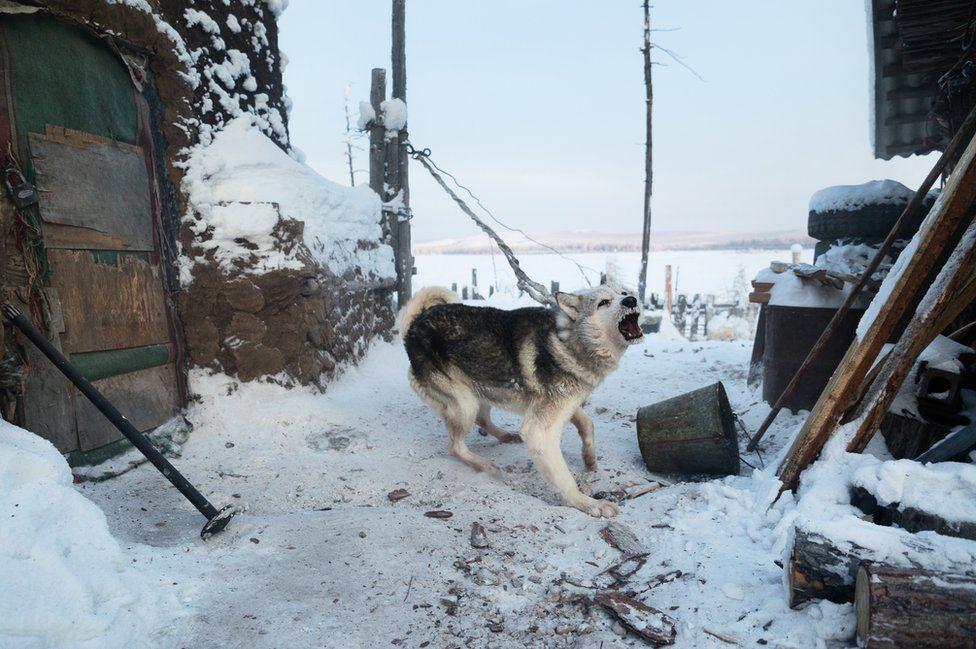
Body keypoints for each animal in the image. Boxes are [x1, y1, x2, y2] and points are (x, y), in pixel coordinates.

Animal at [400, 284, 644, 516]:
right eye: (604, 302)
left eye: (624, 293)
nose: (631, 300)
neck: (569, 340)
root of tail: (414, 325)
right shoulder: (540, 432)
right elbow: (564, 479)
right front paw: (589, 504)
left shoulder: (564, 406)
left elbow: (587, 424)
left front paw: (589, 459)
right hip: (465, 404)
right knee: (455, 446)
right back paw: (487, 466)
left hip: (483, 388)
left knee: (482, 420)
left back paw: (507, 436)